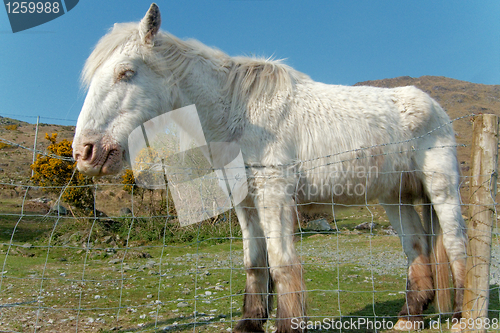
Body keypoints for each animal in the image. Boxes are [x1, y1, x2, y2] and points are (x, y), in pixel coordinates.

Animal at [72, 3, 466, 330]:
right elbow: (255, 263)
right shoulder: (246, 205)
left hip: (441, 189)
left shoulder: (274, 197)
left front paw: (287, 324)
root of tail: (433, 106)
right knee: (416, 249)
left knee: (457, 245)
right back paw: (410, 317)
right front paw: (250, 322)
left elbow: (282, 263)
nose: (85, 152)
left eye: (126, 72)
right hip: (395, 197)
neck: (239, 112)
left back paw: (462, 315)